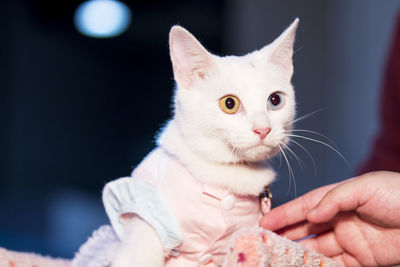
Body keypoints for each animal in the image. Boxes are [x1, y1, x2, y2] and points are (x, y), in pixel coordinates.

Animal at [102, 19, 296, 267]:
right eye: (229, 103)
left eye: (275, 100)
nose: (263, 129)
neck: (227, 172)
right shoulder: (147, 212)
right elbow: (139, 254)